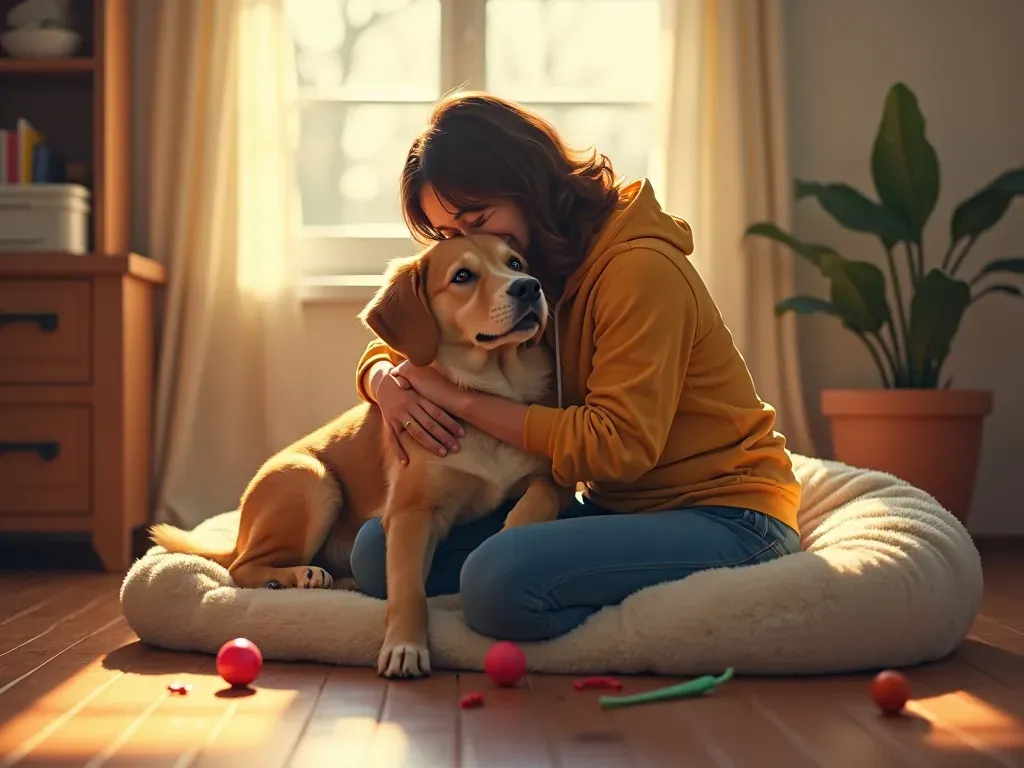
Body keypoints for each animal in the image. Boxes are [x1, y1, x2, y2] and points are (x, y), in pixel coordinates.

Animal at [149, 234, 573, 679]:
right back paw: (295, 575)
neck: (492, 392)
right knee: (240, 568)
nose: (528, 287)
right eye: (463, 276)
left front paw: (508, 532)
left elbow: (538, 497)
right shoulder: (410, 512)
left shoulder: (555, 479)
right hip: (311, 479)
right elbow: (406, 588)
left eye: (515, 263)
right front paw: (405, 646)